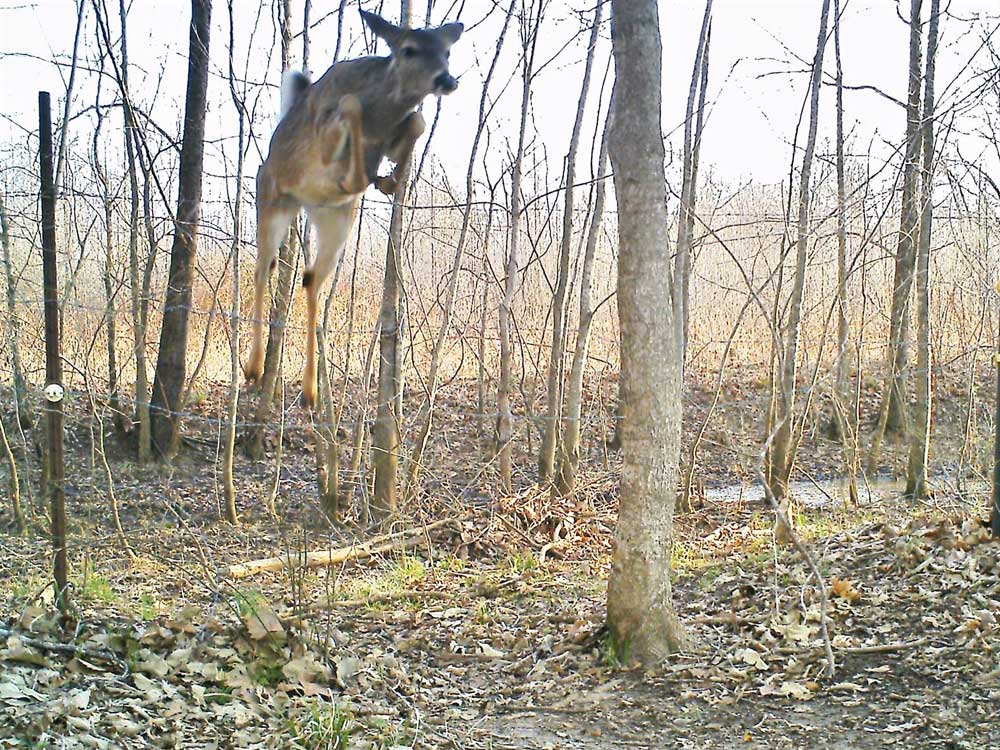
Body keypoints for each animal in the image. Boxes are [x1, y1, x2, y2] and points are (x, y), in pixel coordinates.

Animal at [244, 8, 462, 408]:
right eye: (408, 49)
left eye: (447, 52)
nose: (447, 80)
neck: (383, 110)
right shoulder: (329, 130)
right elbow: (350, 106)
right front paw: (366, 173)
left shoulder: (393, 135)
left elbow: (417, 120)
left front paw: (389, 180)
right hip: (271, 202)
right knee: (262, 268)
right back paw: (253, 368)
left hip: (336, 220)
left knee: (310, 279)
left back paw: (311, 391)